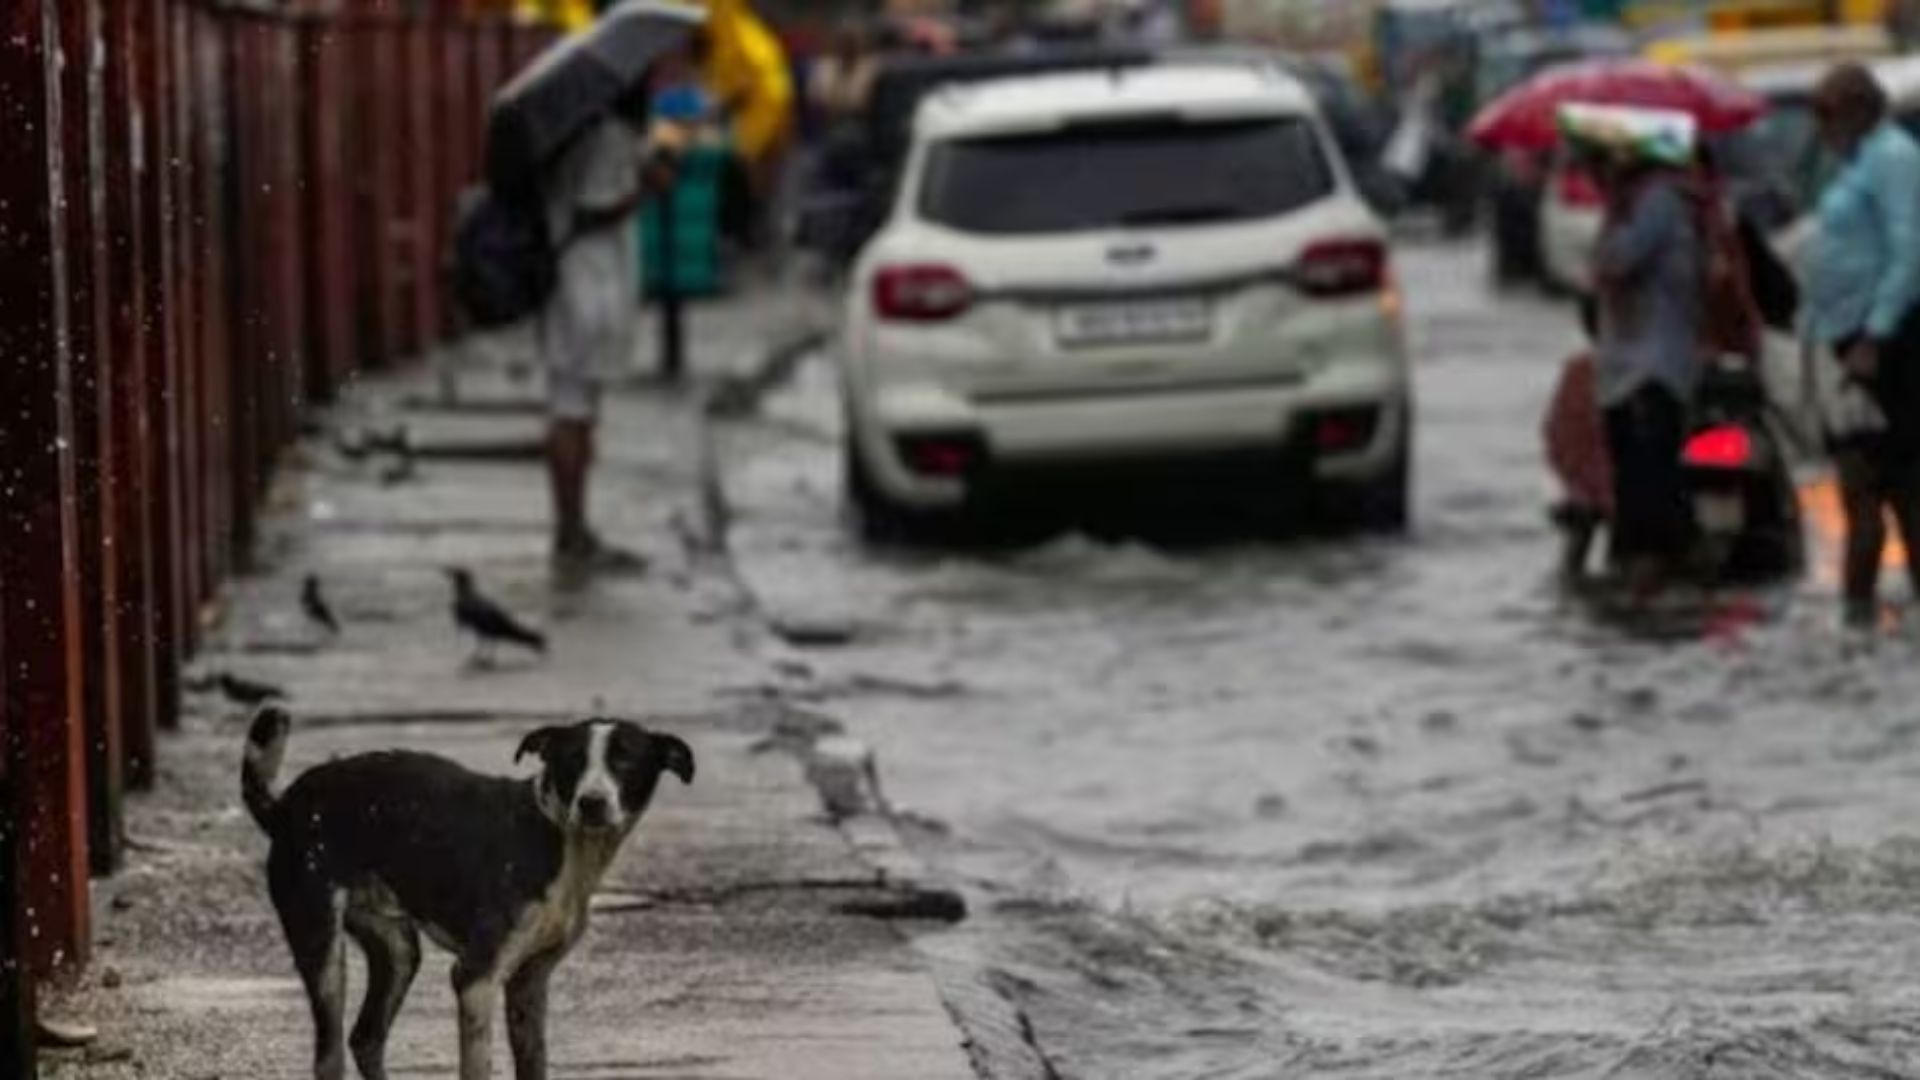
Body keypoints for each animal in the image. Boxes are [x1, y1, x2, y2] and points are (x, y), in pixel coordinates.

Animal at [238, 707, 691, 1076]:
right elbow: (477, 1067)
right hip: (323, 949)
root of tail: (285, 804)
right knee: (328, 1056)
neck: (555, 833)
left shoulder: (529, 983)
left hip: (398, 950)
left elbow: (535, 1064)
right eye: (573, 760)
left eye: (624, 760)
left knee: (365, 1038)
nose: (591, 803)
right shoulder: (476, 978)